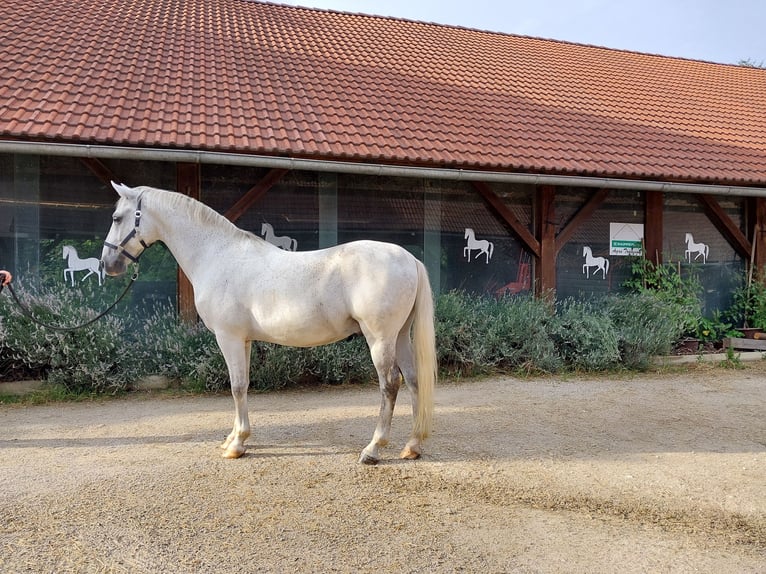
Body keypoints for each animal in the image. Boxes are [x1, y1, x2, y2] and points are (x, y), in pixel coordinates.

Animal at [103, 184, 438, 468]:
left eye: (117, 217)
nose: (108, 264)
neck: (217, 255)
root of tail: (409, 258)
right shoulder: (244, 340)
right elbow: (243, 385)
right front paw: (233, 437)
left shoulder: (229, 337)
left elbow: (237, 386)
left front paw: (237, 445)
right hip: (400, 337)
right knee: (413, 381)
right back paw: (411, 446)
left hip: (380, 339)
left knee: (390, 384)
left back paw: (373, 450)